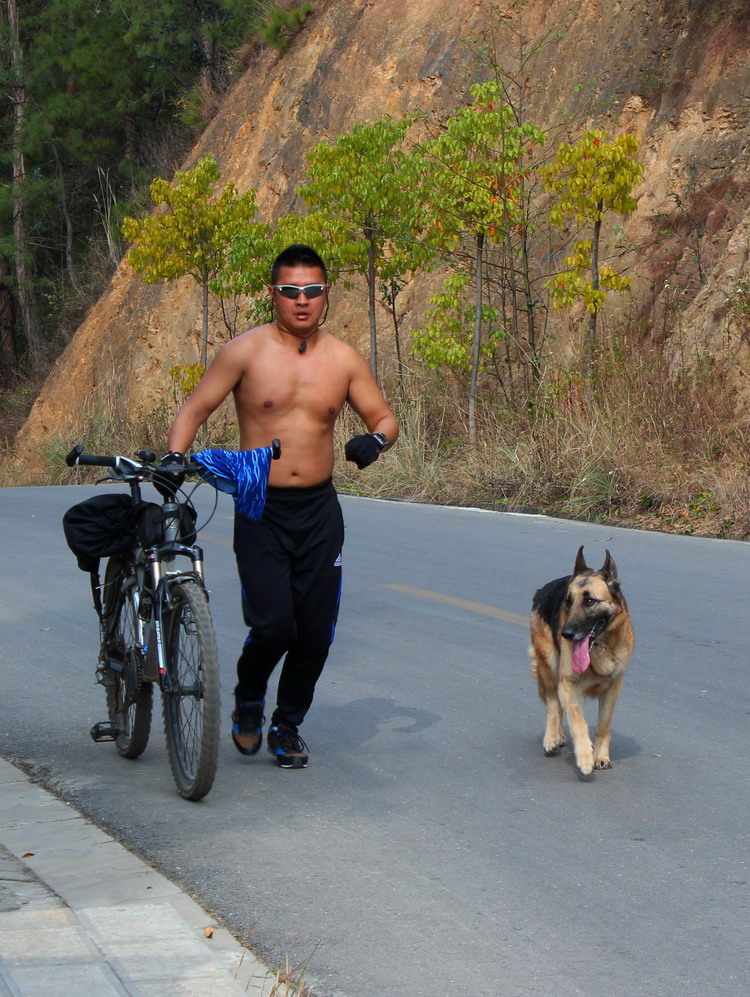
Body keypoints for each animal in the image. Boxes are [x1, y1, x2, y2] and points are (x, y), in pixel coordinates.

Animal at [528, 548, 636, 776]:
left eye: (589, 601)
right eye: (568, 602)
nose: (566, 634)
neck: (599, 648)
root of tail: (542, 589)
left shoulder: (613, 688)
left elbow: (603, 725)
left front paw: (600, 756)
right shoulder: (567, 686)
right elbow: (578, 722)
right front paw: (585, 757)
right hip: (549, 665)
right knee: (553, 704)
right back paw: (552, 738)